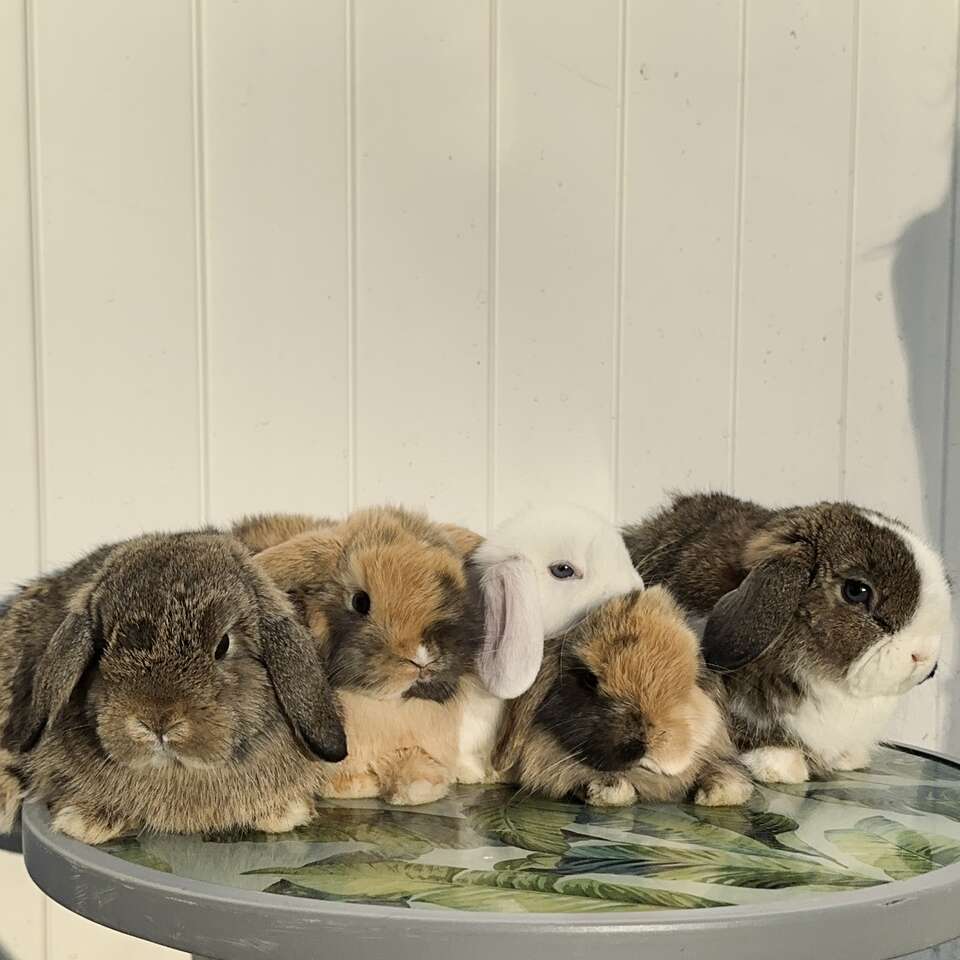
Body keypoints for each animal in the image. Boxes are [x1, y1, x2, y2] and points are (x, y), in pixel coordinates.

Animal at [249, 506, 488, 808]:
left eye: (450, 591)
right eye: (360, 601)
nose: (422, 657)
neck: (386, 705)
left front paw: (420, 787)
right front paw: (353, 787)